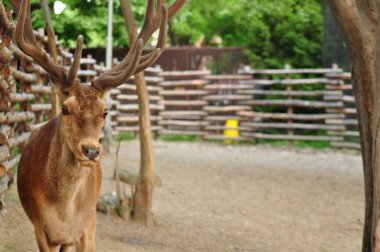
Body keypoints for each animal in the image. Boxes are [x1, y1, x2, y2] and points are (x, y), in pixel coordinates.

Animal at [8, 0, 173, 250]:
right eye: (65, 108)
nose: (91, 150)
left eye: (105, 111)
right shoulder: (40, 230)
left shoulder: (89, 227)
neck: (64, 217)